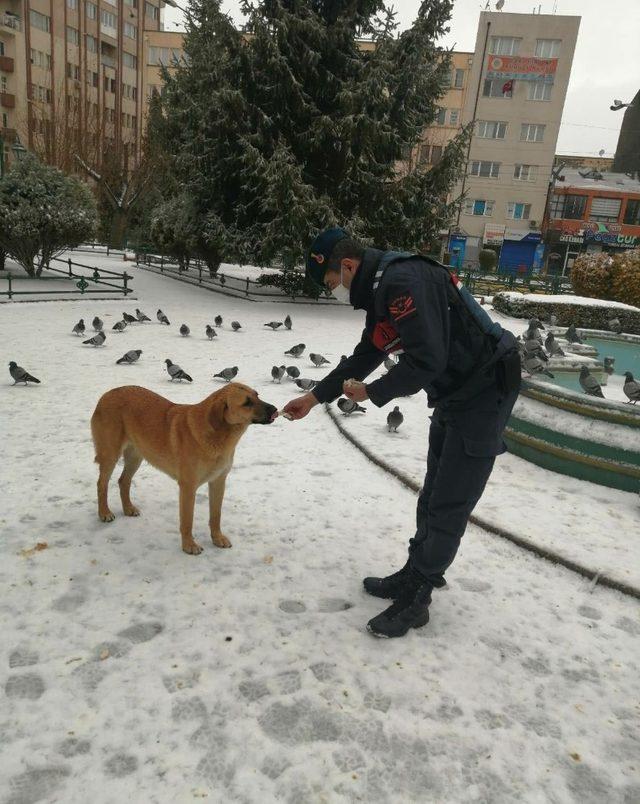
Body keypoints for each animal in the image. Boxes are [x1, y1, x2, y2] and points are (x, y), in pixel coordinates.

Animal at [90, 384, 276, 552]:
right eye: (247, 403)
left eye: (257, 395)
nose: (275, 409)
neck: (218, 435)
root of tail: (106, 394)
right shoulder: (188, 487)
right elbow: (187, 520)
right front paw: (189, 546)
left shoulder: (218, 482)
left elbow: (216, 516)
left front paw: (217, 539)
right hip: (110, 455)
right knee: (101, 484)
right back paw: (104, 512)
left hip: (136, 456)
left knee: (123, 481)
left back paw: (128, 509)